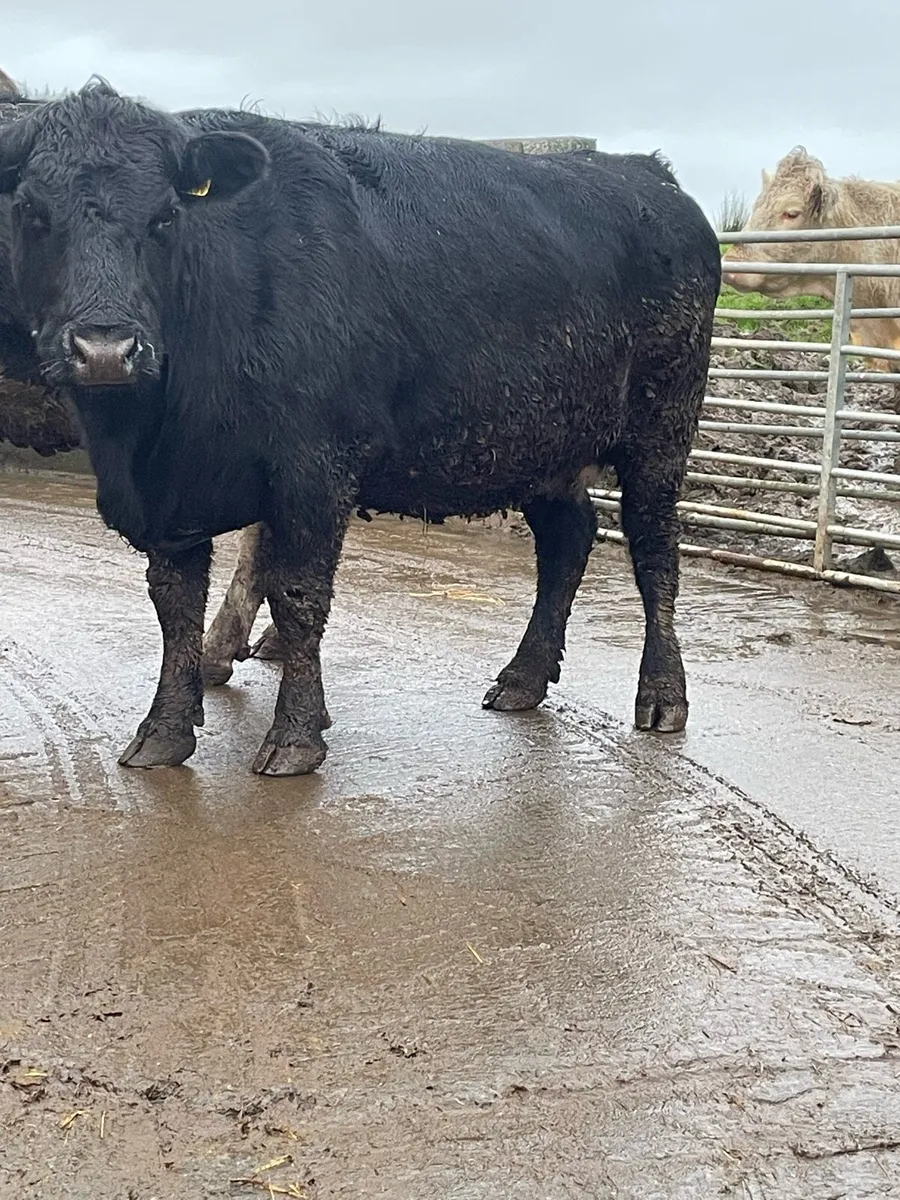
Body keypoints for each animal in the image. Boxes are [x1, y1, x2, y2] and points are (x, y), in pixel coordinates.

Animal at [0, 81, 720, 776]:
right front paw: (162, 733)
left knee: (654, 548)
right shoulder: (172, 493)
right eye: (32, 212)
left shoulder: (315, 468)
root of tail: (646, 174)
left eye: (165, 216)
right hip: (545, 441)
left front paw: (294, 736)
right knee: (568, 538)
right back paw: (523, 678)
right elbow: (174, 605)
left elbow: (297, 594)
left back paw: (661, 695)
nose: (105, 349)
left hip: (662, 425)